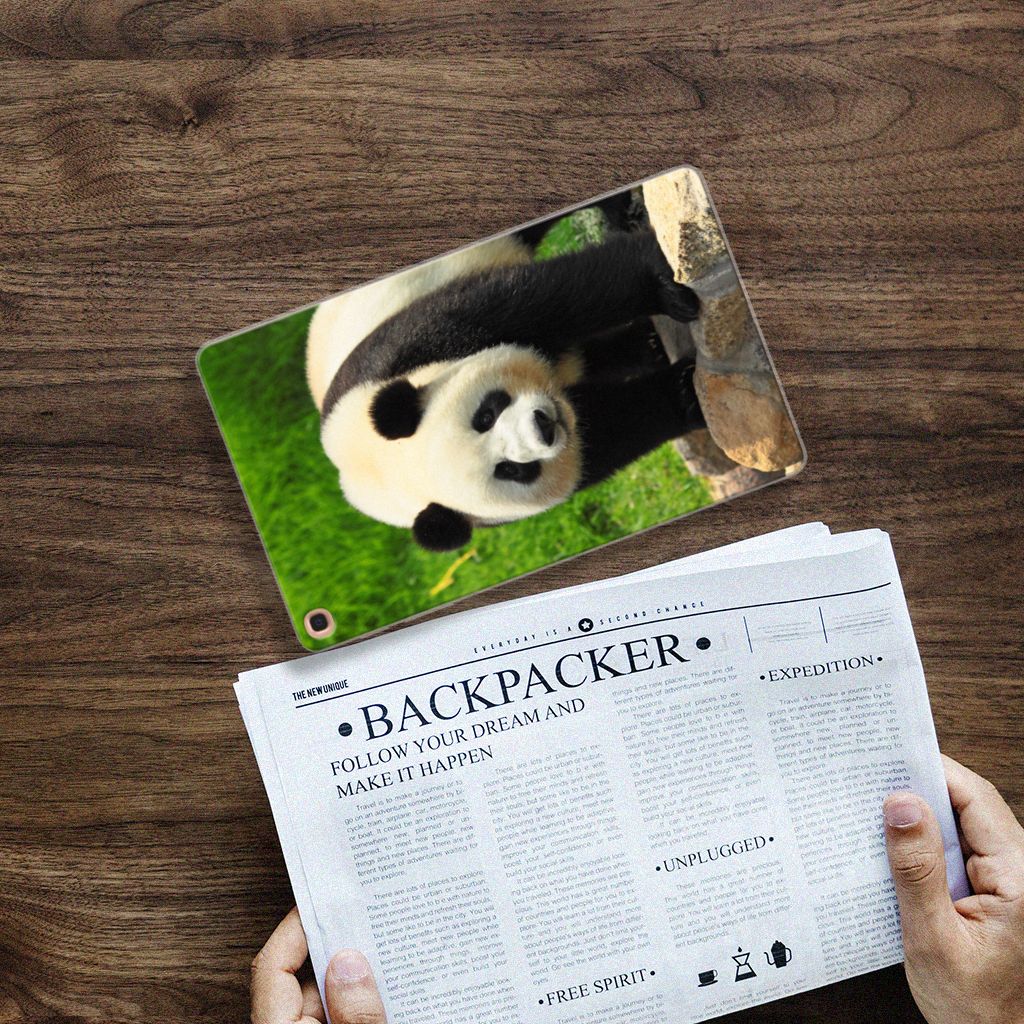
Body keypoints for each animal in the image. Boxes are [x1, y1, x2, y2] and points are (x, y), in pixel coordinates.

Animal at [306, 226, 705, 552]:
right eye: (511, 470)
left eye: (485, 415)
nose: (544, 425)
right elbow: (607, 434)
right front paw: (685, 395)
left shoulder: (415, 345)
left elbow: (551, 300)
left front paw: (664, 288)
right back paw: (646, 346)